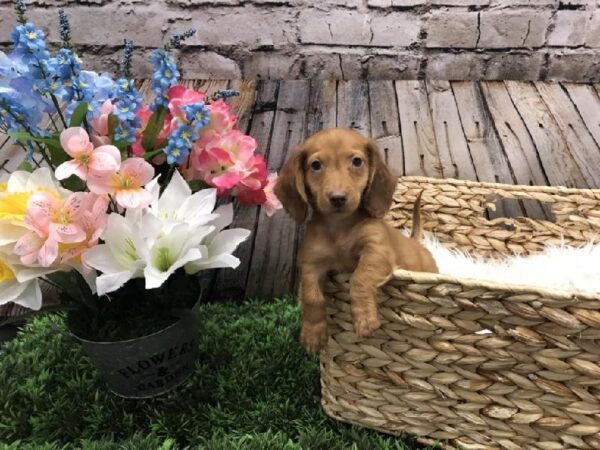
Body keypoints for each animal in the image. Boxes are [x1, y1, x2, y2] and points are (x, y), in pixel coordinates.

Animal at [276, 128, 436, 354]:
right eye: (315, 165)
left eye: (357, 161)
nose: (338, 198)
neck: (339, 227)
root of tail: (417, 243)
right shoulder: (310, 263)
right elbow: (311, 296)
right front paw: (313, 333)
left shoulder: (376, 251)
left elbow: (359, 278)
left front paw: (365, 319)